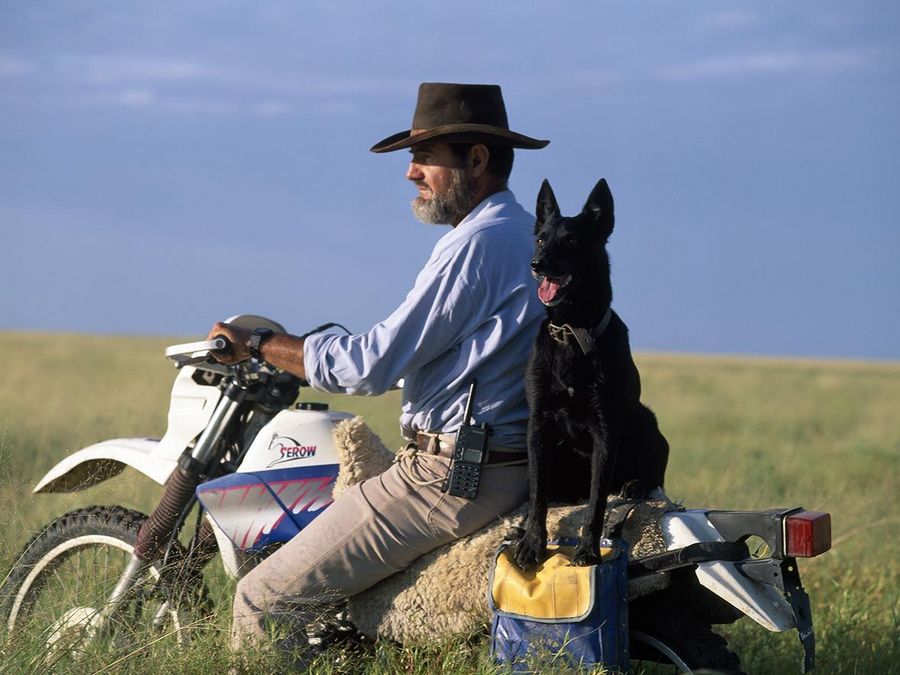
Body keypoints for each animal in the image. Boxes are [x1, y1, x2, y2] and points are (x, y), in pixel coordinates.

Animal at [512, 178, 668, 572]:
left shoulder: (606, 429)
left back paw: (635, 485)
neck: (571, 331)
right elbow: (537, 495)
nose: (537, 265)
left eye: (571, 241)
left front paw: (589, 551)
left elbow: (597, 501)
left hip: (646, 421)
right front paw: (531, 544)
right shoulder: (538, 424)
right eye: (541, 239)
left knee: (650, 474)